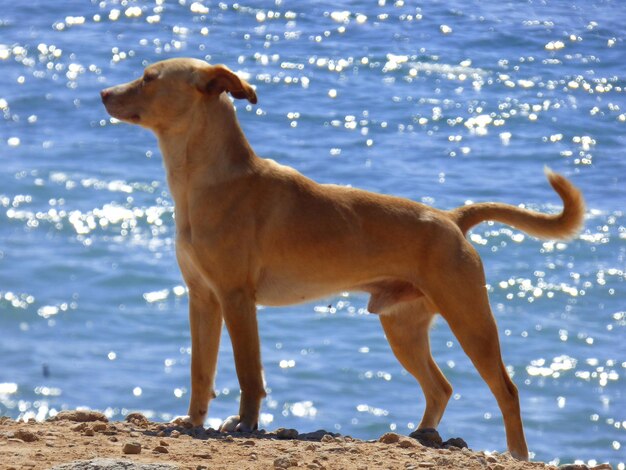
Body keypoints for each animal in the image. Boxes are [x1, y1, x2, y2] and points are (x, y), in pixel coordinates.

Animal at [100, 57, 584, 458]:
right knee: (440, 387)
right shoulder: (202, 298)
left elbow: (247, 374)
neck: (209, 180)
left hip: (471, 321)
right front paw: (193, 420)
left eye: (149, 78)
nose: (103, 93)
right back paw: (422, 434)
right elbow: (200, 371)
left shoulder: (236, 299)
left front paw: (245, 424)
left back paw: (517, 453)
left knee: (506, 390)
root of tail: (451, 218)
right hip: (403, 327)